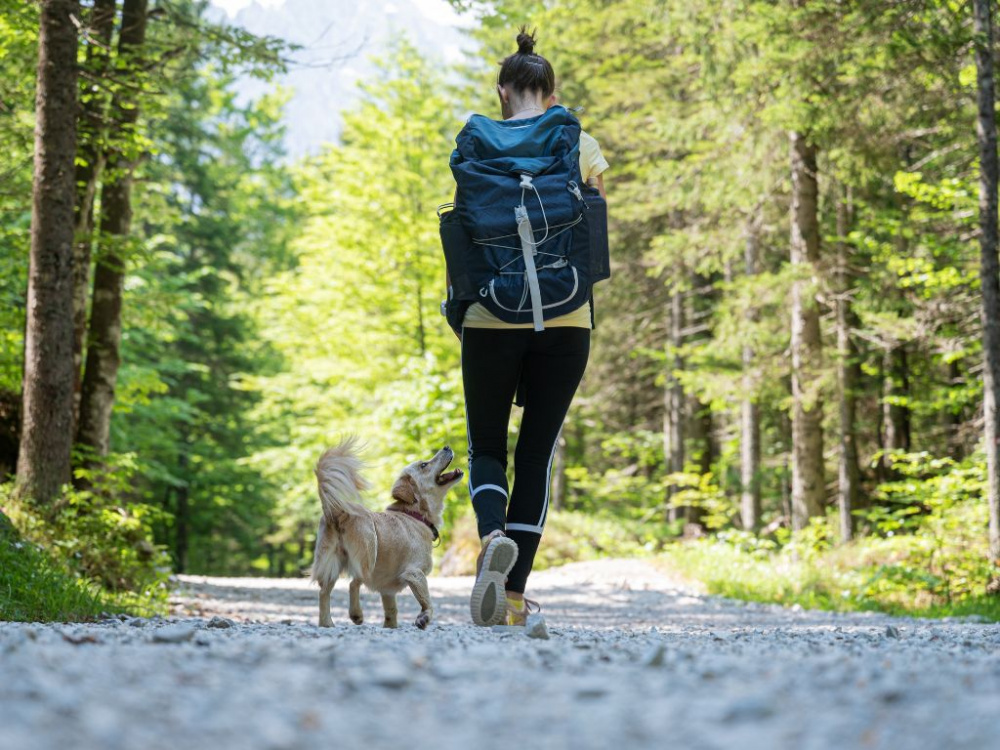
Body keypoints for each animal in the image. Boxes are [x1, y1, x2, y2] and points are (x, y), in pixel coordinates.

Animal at [308, 438, 464, 632]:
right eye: (424, 465)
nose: (447, 447)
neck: (415, 514)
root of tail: (336, 511)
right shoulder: (415, 573)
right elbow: (428, 601)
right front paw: (424, 618)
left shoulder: (387, 591)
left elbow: (392, 611)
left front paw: (390, 627)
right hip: (369, 553)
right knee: (354, 582)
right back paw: (356, 614)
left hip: (330, 563)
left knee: (324, 592)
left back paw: (327, 623)